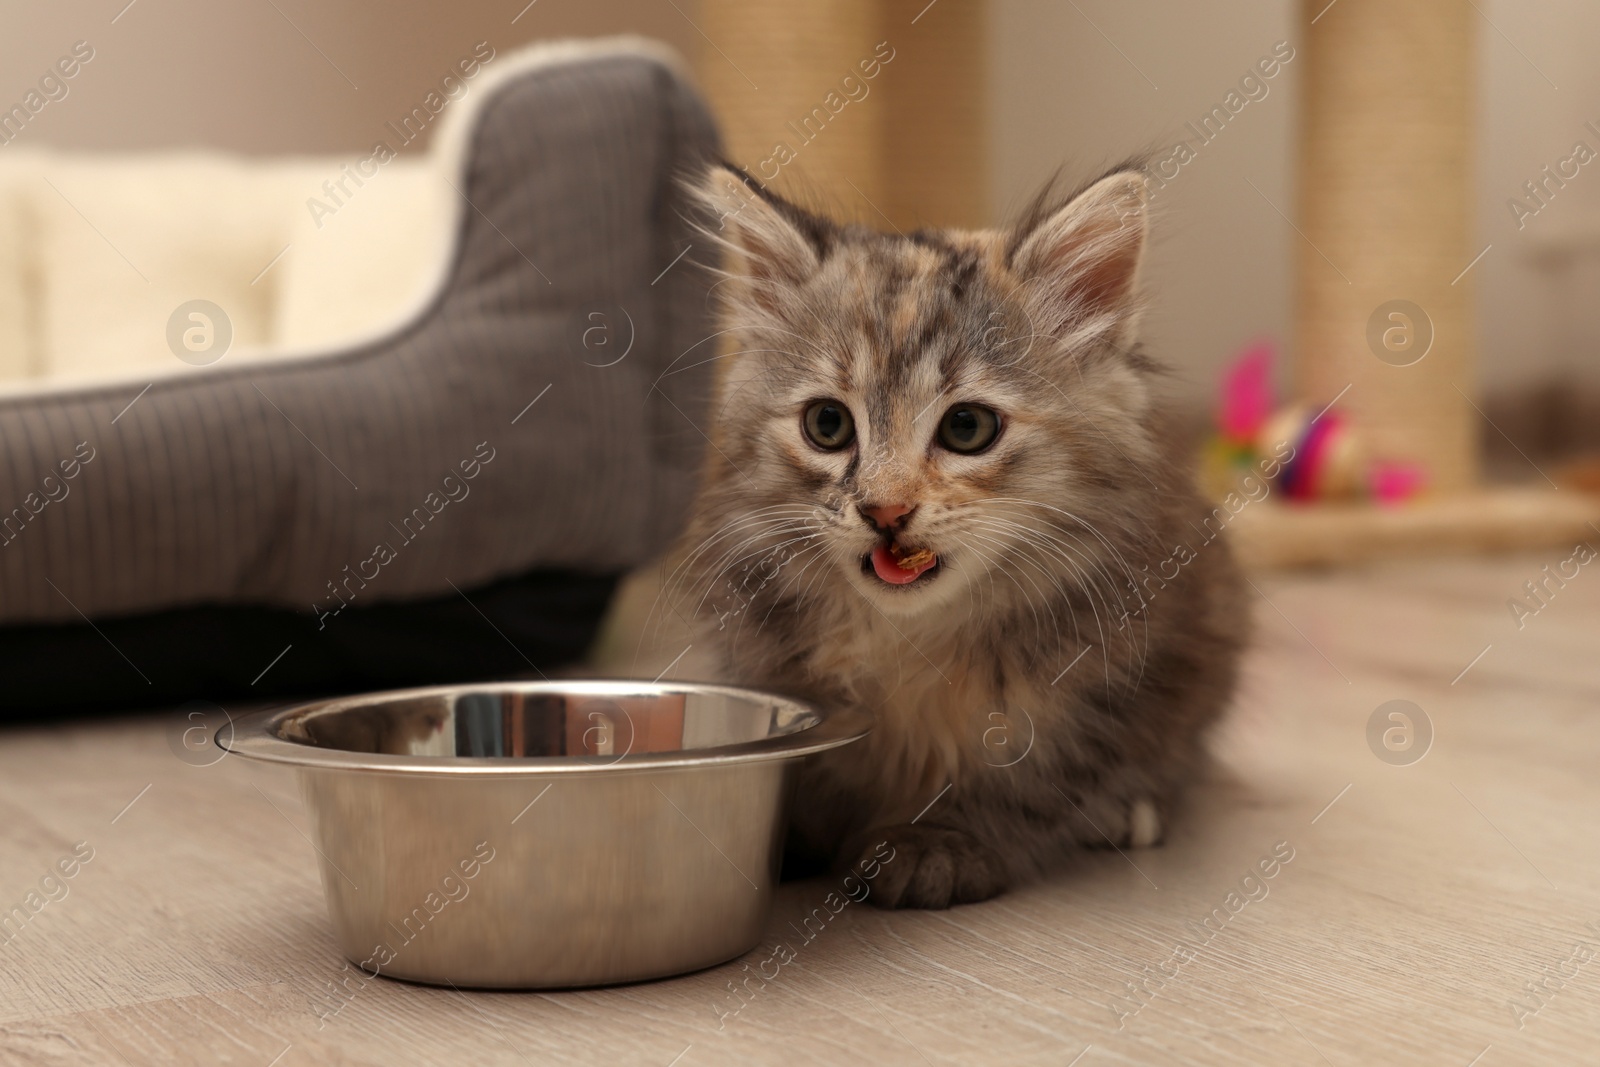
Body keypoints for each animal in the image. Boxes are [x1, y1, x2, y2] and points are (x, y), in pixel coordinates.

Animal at [668, 164, 1241, 908]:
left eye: (968, 428)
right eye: (827, 424)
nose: (884, 510)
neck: (910, 637)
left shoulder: (1113, 686)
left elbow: (1028, 778)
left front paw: (937, 839)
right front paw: (791, 831)